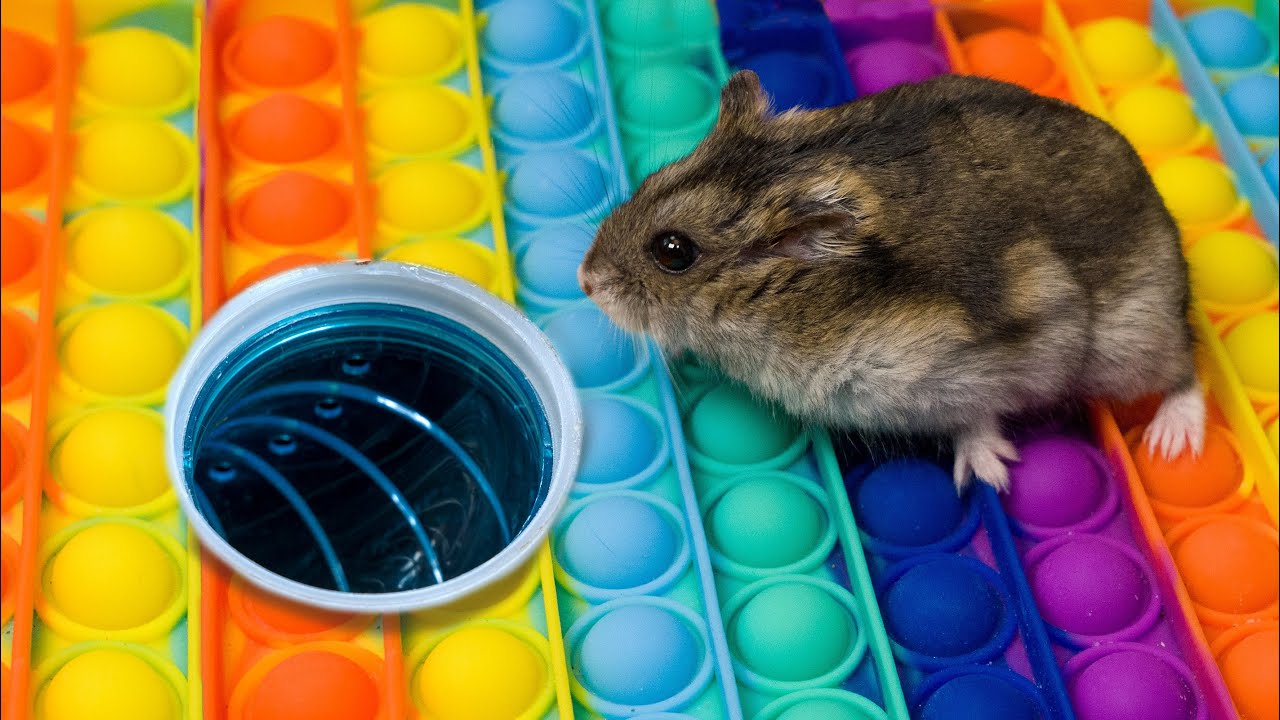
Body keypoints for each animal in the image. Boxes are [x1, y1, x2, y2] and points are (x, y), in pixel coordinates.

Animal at [577, 69, 1205, 492]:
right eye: (651, 179)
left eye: (673, 251)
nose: (584, 280)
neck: (778, 302)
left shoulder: (984, 358)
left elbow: (979, 415)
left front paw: (986, 474)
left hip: (1131, 340)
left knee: (1184, 369)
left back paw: (1172, 442)